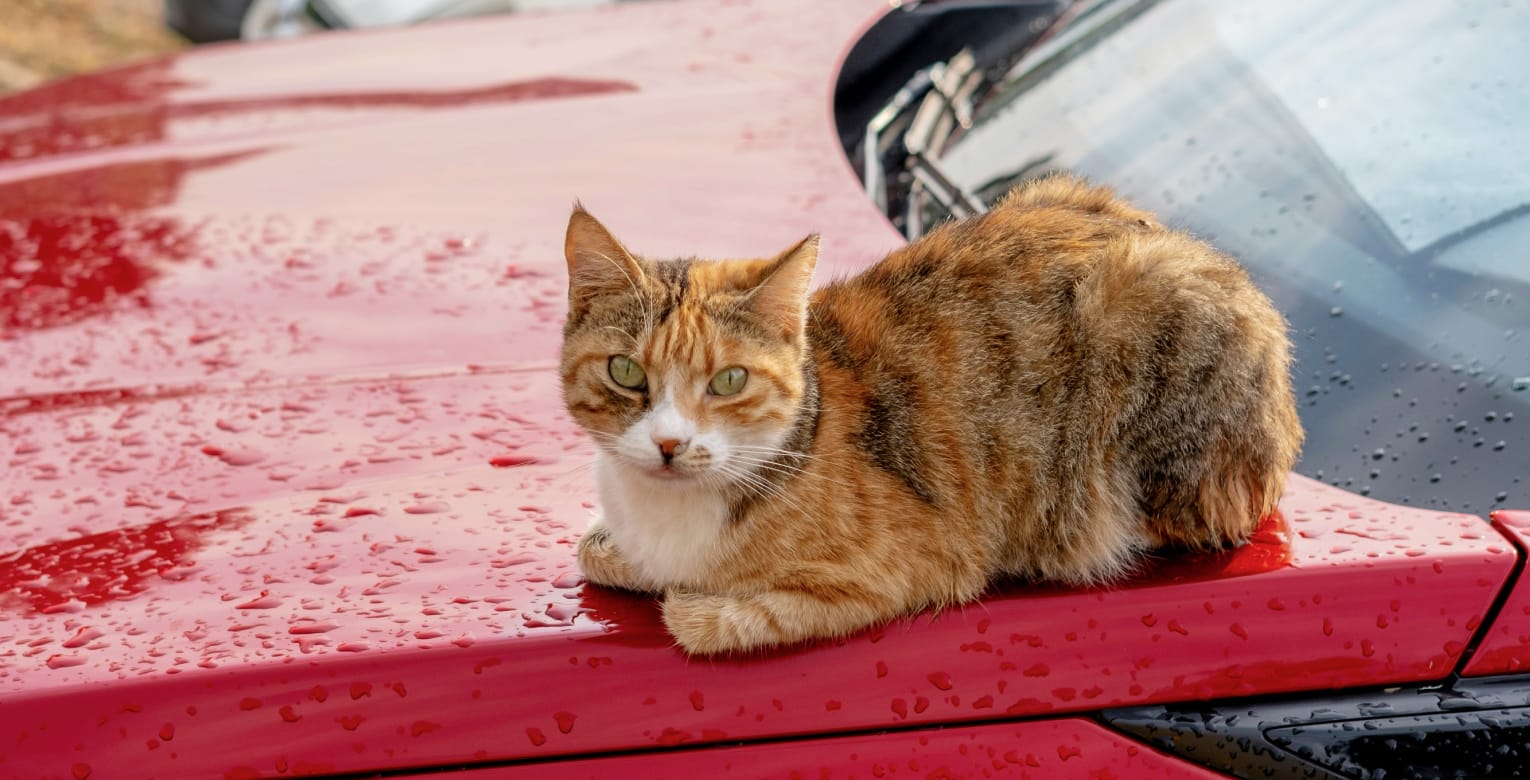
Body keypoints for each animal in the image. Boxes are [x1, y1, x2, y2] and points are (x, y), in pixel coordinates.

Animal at [563, 173, 1303, 654]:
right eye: (626, 372)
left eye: (728, 380)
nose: (668, 444)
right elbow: (595, 550)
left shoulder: (922, 564)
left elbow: (712, 618)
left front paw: (695, 600)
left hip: (1147, 313)